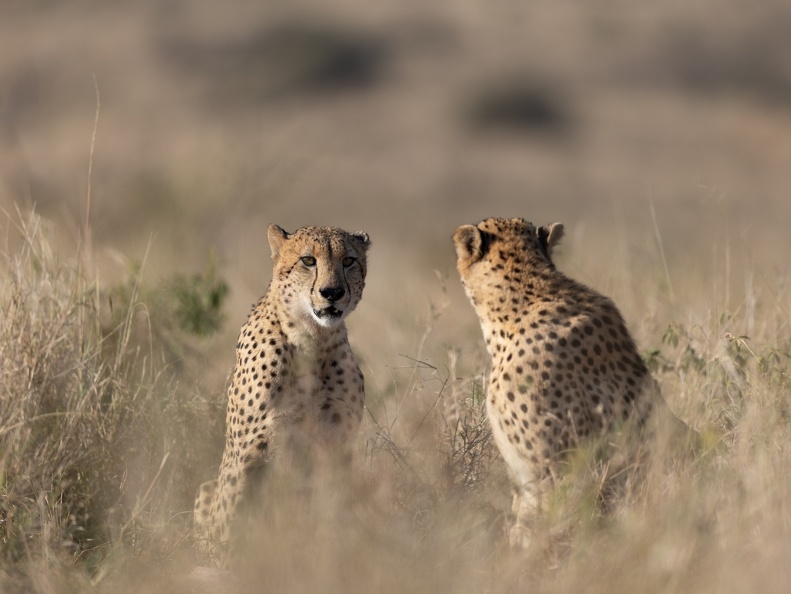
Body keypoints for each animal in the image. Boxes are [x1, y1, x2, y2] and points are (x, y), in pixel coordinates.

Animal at [194, 224, 370, 568]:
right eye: (308, 260)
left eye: (348, 261)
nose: (332, 293)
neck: (312, 339)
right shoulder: (248, 453)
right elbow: (230, 519)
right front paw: (227, 565)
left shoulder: (336, 449)